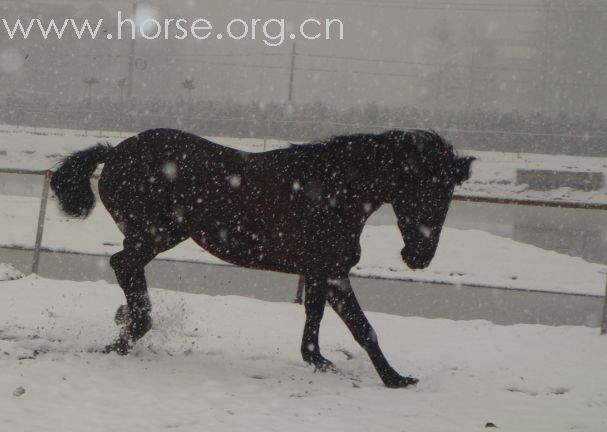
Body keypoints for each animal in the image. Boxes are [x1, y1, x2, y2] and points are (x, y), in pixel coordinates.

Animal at [50, 128, 476, 388]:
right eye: (431, 194)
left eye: (448, 197)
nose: (418, 258)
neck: (335, 192)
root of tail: (114, 152)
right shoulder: (334, 271)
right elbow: (363, 327)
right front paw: (396, 379)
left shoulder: (320, 271)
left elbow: (315, 315)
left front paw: (318, 360)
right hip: (156, 235)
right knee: (123, 264)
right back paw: (131, 329)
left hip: (155, 235)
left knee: (126, 267)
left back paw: (125, 324)